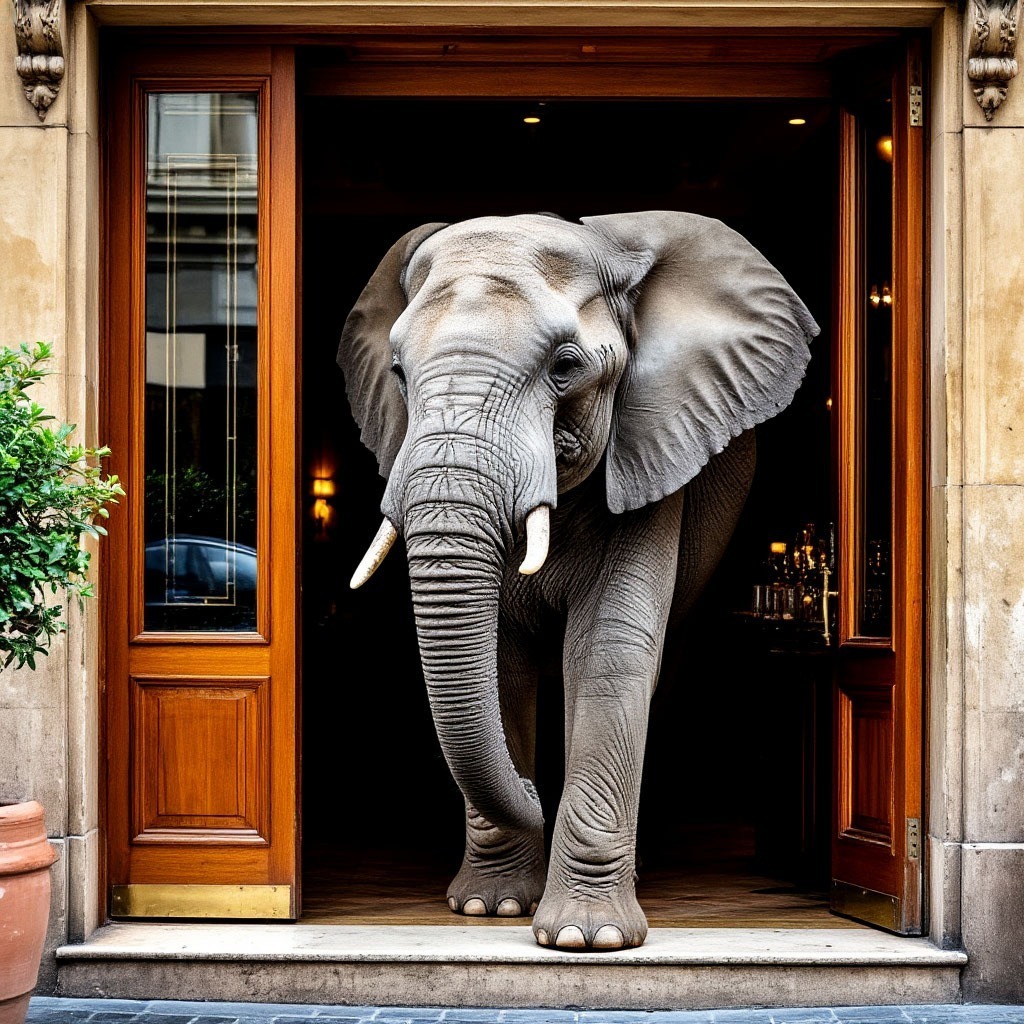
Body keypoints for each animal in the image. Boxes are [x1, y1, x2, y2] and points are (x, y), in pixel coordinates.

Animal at [337, 210, 819, 951]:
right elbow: (502, 659)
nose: (535, 794)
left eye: (566, 368)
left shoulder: (650, 444)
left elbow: (606, 651)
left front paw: (586, 938)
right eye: (397, 372)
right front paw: (491, 907)